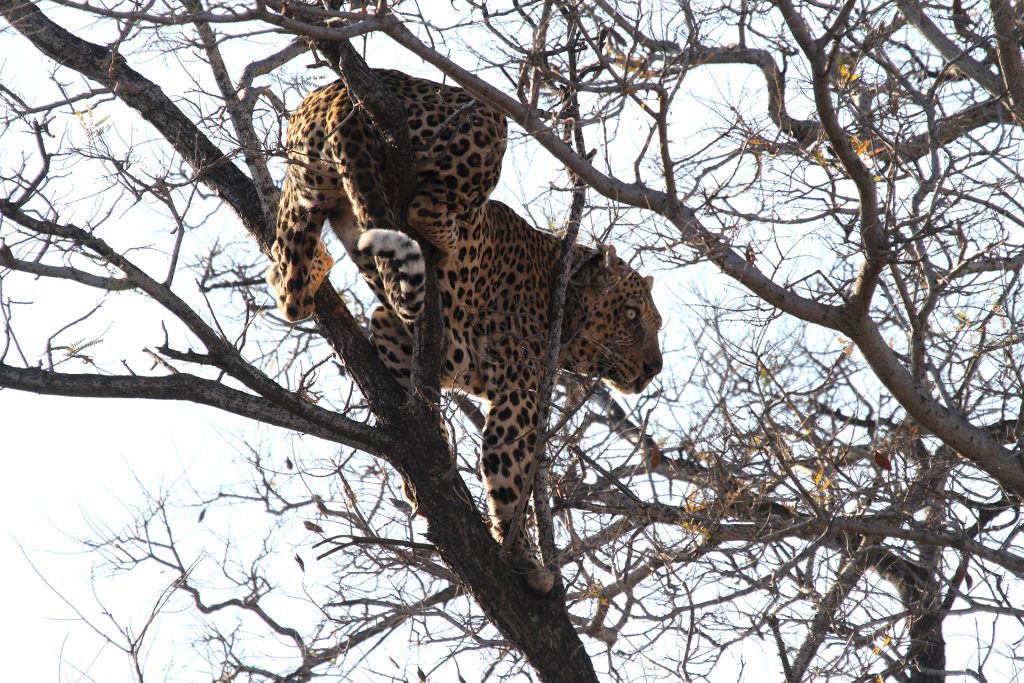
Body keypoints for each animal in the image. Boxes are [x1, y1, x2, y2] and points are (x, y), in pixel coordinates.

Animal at [266, 68, 663, 593]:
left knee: (289, 284)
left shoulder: (401, 331)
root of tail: (339, 92)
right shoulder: (517, 393)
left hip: (307, 184)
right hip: (486, 121)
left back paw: (313, 266)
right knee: (422, 209)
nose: (656, 368)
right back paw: (444, 235)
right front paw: (528, 562)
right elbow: (507, 474)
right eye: (634, 317)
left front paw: (428, 458)